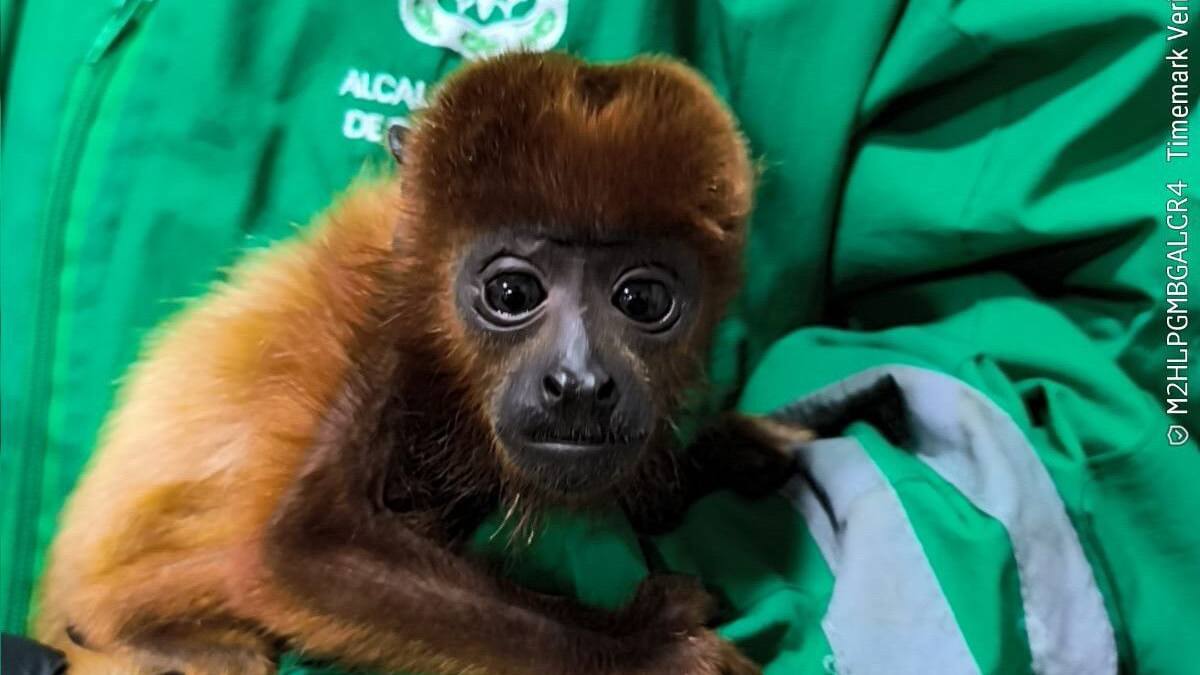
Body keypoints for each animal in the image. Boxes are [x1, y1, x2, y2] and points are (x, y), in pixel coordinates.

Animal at [32, 52, 811, 675]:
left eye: (641, 299)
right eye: (511, 294)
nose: (579, 384)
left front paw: (722, 450)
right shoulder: (371, 326)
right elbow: (304, 551)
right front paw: (640, 649)